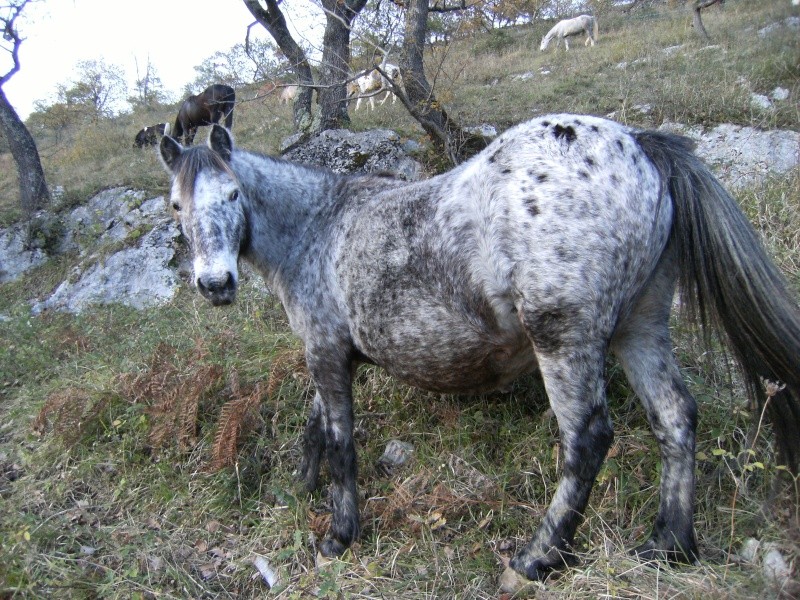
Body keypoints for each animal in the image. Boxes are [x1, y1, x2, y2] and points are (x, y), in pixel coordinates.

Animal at [156, 116, 800, 592]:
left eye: (234, 193)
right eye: (176, 206)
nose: (214, 284)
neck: (320, 227)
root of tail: (640, 146)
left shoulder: (325, 354)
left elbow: (339, 442)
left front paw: (338, 536)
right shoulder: (333, 355)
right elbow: (316, 430)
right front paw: (298, 490)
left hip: (565, 341)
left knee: (587, 439)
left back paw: (538, 559)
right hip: (639, 328)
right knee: (674, 417)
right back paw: (669, 545)